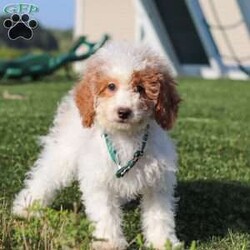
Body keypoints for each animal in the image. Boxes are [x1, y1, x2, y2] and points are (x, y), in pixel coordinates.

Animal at [12, 42, 181, 249]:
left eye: (140, 88)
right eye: (111, 86)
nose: (124, 111)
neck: (125, 138)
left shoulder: (158, 182)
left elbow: (160, 215)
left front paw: (163, 242)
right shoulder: (99, 180)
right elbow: (106, 213)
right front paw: (108, 242)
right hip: (64, 150)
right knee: (45, 176)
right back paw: (27, 207)